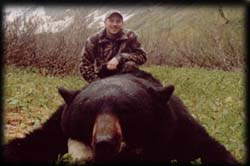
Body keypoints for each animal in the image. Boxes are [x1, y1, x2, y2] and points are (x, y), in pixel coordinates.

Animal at [2, 69, 240, 165]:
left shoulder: (178, 128)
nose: (104, 142)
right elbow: (31, 144)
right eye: (89, 112)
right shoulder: (58, 127)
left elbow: (208, 149)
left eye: (126, 110)